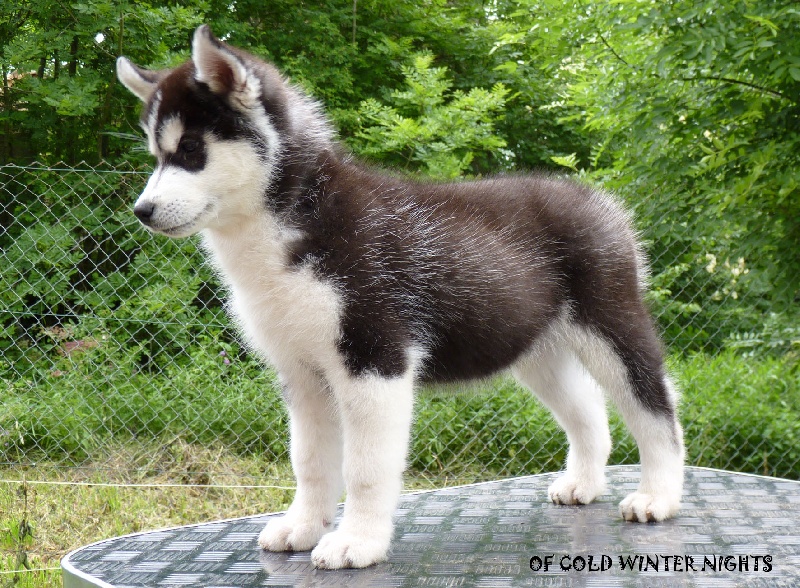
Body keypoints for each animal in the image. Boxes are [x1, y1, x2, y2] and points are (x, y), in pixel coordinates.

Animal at [117, 25, 684, 569]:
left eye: (191, 149)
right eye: (156, 155)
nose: (141, 211)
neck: (294, 218)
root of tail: (595, 196)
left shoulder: (374, 360)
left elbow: (365, 468)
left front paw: (357, 542)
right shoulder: (302, 372)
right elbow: (310, 461)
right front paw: (302, 527)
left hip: (612, 328)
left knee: (657, 410)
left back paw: (658, 495)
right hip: (534, 351)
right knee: (589, 411)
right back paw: (583, 483)